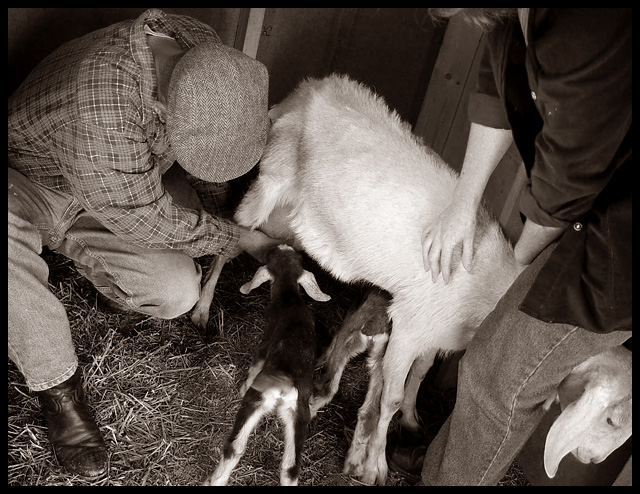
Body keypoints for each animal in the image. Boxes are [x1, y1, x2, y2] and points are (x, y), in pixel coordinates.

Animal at [204, 245, 330, 484]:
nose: (282, 245)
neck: (290, 298)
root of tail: (285, 384)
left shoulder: (265, 343)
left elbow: (255, 365)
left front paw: (242, 387)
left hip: (256, 400)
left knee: (234, 447)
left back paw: (213, 480)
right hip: (299, 415)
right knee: (291, 468)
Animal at [235, 75, 520, 484]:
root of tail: (310, 87)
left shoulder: (434, 333)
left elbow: (419, 374)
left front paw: (412, 420)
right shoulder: (410, 325)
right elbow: (391, 396)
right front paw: (376, 463)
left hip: (289, 215)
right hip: (272, 178)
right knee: (235, 231)